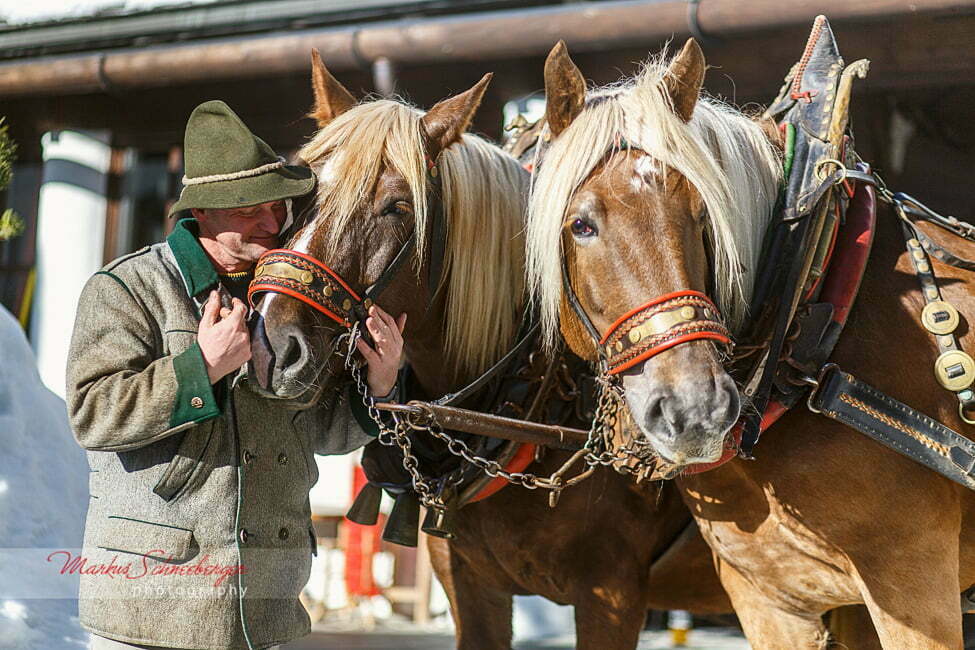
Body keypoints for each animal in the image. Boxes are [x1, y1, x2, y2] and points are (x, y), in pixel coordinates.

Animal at [248, 50, 736, 648]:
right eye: (301, 194)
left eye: (396, 207)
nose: (273, 345)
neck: (529, 398)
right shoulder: (468, 583)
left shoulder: (613, 595)